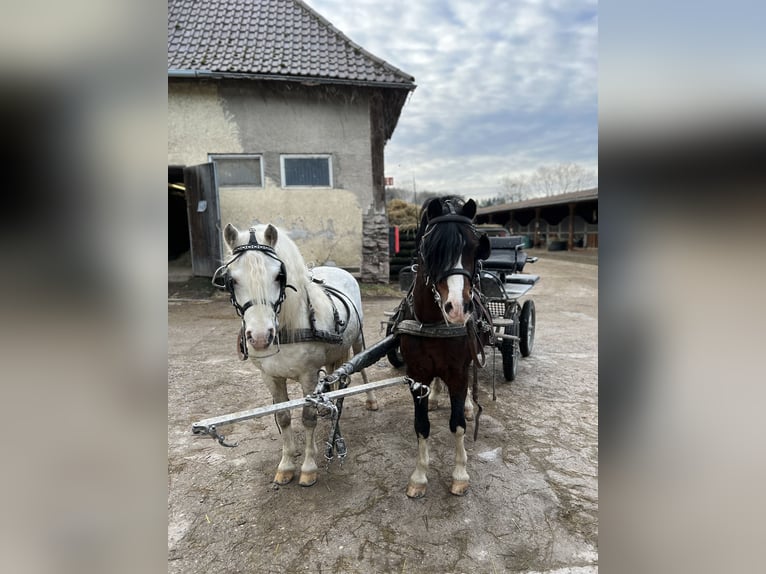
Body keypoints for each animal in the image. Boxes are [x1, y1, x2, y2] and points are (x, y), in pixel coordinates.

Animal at [219, 223, 378, 488]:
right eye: (231, 279)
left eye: (279, 276)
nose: (260, 337)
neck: (288, 327)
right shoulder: (270, 377)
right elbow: (283, 416)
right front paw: (286, 464)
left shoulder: (308, 375)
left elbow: (307, 418)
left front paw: (308, 467)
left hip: (357, 341)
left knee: (362, 368)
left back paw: (370, 400)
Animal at [396, 198, 492, 500]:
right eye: (431, 249)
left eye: (475, 247)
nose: (458, 308)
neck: (433, 322)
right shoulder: (417, 376)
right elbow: (421, 426)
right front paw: (419, 477)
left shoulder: (458, 372)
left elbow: (458, 423)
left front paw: (460, 474)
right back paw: (438, 394)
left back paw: (471, 405)